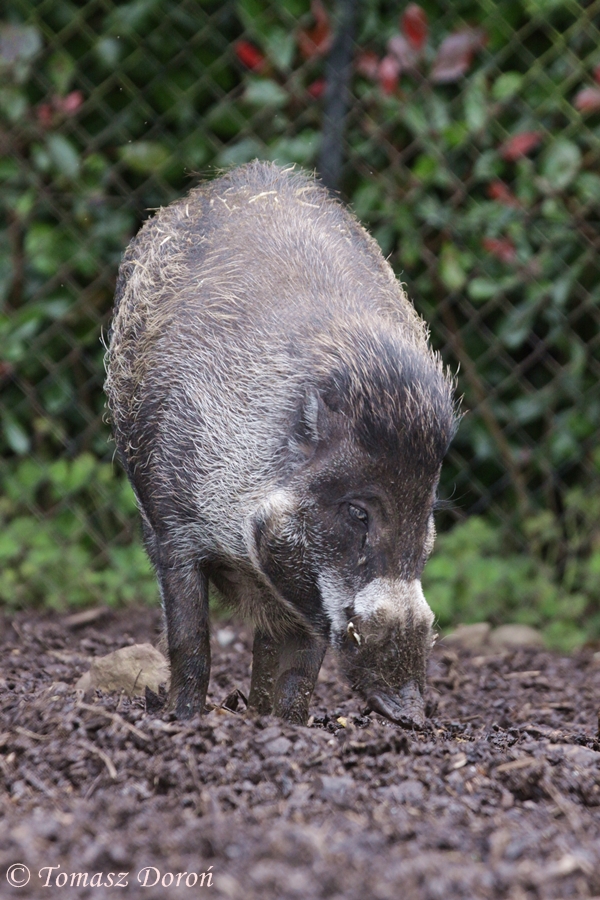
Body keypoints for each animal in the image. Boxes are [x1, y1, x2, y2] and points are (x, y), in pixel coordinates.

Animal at [104, 160, 457, 728]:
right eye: (358, 511)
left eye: (427, 514)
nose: (411, 713)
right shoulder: (171, 528)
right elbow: (190, 640)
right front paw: (182, 720)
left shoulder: (308, 591)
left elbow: (299, 667)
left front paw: (288, 727)